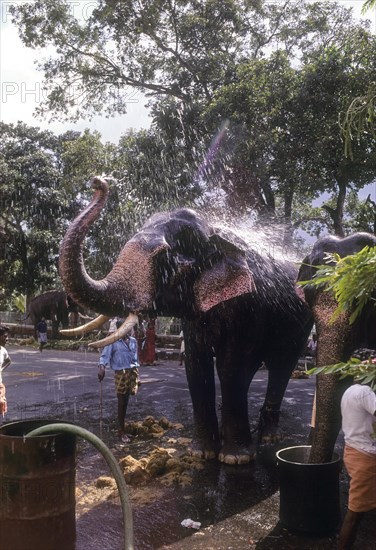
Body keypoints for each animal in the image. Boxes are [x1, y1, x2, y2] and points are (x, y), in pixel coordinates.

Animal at [58, 179, 312, 468]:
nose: (99, 182)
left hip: (301, 324)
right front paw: (201, 453)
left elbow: (231, 367)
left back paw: (269, 438)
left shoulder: (249, 306)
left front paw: (235, 459)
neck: (214, 232)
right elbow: (196, 364)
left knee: (281, 365)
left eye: (165, 259)